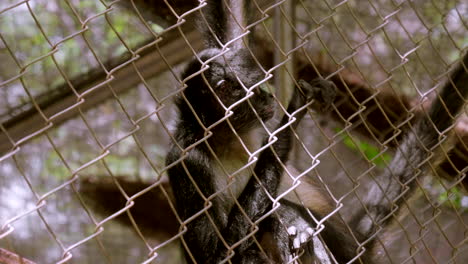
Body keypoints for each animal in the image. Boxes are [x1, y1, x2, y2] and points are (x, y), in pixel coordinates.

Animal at [164, 0, 468, 262]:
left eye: (263, 85)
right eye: (256, 89)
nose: (268, 97)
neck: (227, 138)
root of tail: (354, 246)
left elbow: (231, 15)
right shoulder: (186, 159)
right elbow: (216, 254)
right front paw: (292, 114)